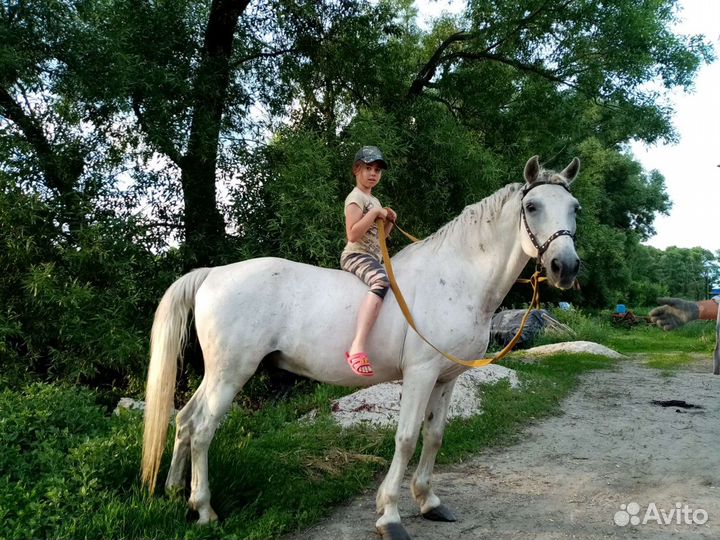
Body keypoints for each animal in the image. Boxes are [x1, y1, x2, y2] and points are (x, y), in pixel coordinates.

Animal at [141, 155, 582, 540]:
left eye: (574, 208)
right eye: (532, 206)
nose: (566, 268)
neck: (456, 279)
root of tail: (212, 274)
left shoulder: (446, 378)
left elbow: (435, 436)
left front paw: (429, 502)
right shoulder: (420, 374)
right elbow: (407, 438)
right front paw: (389, 516)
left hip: (217, 374)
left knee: (184, 420)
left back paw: (174, 493)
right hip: (231, 374)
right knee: (202, 429)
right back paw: (204, 510)